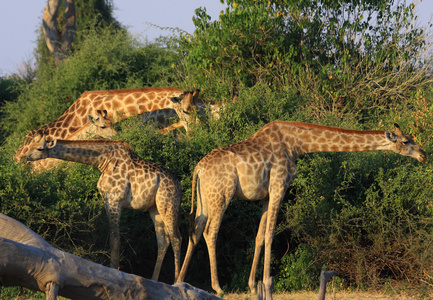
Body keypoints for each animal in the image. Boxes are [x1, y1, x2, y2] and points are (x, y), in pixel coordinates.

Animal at [24, 137, 181, 282]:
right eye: (30, 144)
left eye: (39, 148)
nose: (24, 156)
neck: (103, 161)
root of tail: (178, 185)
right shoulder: (106, 200)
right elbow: (112, 238)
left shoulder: (115, 200)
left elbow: (115, 240)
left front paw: (115, 272)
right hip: (155, 209)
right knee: (163, 241)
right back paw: (154, 280)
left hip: (168, 203)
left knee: (176, 238)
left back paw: (177, 281)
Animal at [176, 121, 426, 298]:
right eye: (405, 141)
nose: (424, 154)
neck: (297, 145)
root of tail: (198, 168)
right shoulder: (280, 185)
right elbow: (270, 234)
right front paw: (268, 283)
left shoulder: (267, 193)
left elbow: (259, 236)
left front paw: (252, 286)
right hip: (222, 194)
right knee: (210, 232)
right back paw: (217, 287)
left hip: (205, 197)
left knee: (195, 230)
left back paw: (179, 281)